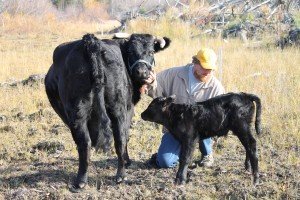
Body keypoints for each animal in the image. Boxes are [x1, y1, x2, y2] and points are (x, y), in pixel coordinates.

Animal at [44, 33, 171, 192]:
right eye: (131, 51)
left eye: (151, 52)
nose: (141, 72)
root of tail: (90, 42)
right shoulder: (129, 107)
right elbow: (125, 136)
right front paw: (127, 161)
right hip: (118, 109)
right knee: (120, 139)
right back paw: (121, 174)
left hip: (77, 112)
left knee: (84, 143)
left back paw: (81, 181)